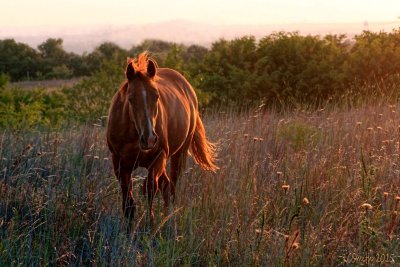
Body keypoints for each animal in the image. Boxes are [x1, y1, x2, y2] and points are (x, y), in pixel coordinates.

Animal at [106, 52, 217, 222]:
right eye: (130, 98)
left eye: (157, 96)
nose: (150, 139)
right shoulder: (119, 163)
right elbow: (129, 203)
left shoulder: (158, 157)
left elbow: (150, 188)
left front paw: (150, 222)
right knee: (166, 186)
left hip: (178, 154)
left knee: (171, 187)